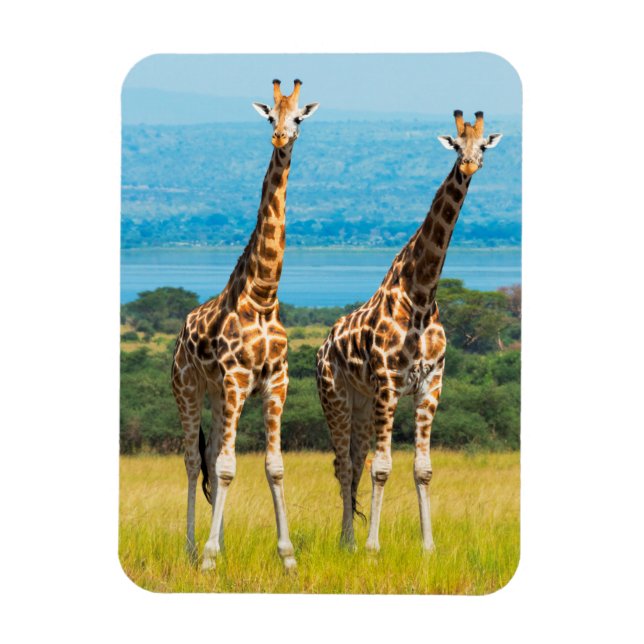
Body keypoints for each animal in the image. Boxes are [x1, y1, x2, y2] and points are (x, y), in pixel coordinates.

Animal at [171, 79, 319, 572]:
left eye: (298, 117)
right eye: (270, 116)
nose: (280, 138)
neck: (263, 295)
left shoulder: (276, 382)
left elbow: (273, 466)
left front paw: (288, 558)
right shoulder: (237, 379)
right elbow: (226, 468)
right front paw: (210, 557)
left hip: (220, 398)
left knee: (211, 455)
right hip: (189, 389)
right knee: (194, 461)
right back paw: (193, 547)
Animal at [316, 111, 502, 552]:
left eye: (483, 145)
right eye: (456, 144)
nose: (470, 165)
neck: (420, 294)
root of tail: (321, 347)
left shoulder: (431, 383)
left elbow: (423, 468)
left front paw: (428, 547)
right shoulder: (388, 381)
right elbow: (382, 467)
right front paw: (372, 548)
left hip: (363, 403)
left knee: (354, 460)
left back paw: (349, 539)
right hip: (336, 396)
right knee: (343, 464)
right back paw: (349, 543)